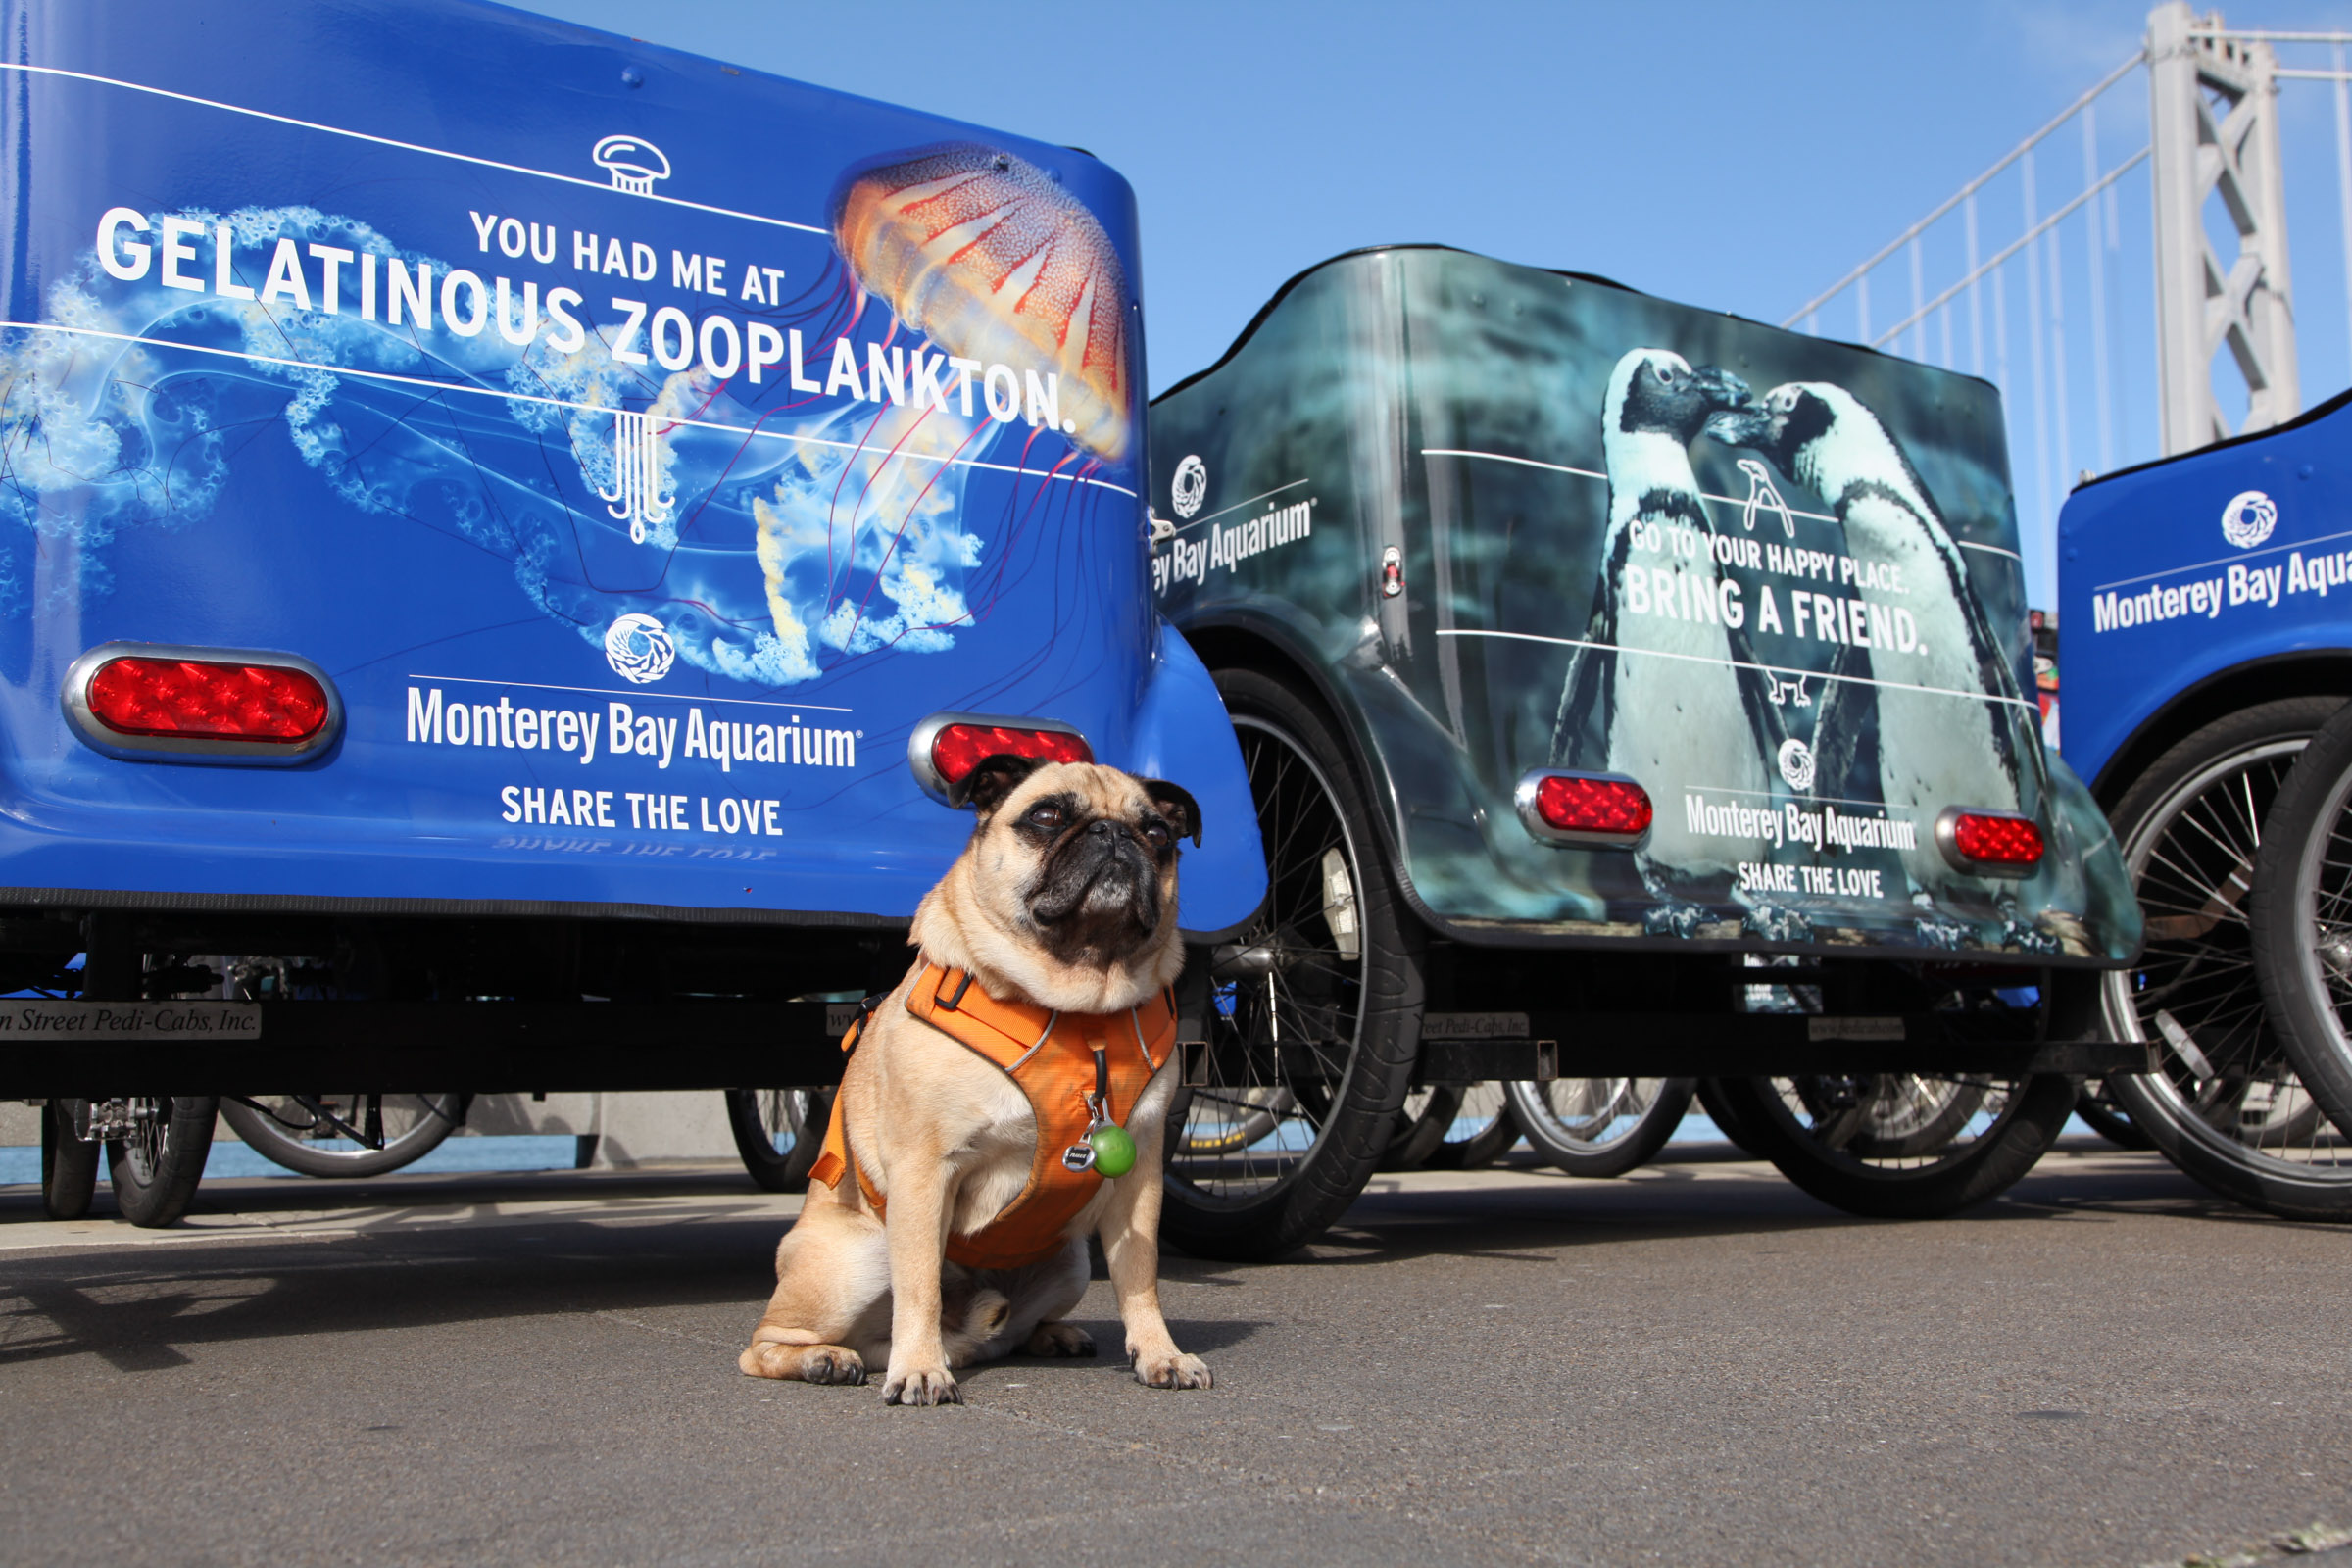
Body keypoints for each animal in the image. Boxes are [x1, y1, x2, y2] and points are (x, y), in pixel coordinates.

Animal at [733, 752, 1213, 1400]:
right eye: (1046, 816)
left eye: (1158, 834)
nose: (1112, 833)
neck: (1077, 1013)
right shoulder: (922, 1172)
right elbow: (919, 1288)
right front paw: (918, 1369)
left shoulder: (1138, 1180)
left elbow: (1141, 1277)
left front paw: (1161, 1354)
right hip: (858, 1261)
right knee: (772, 1343)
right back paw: (830, 1359)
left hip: (1069, 1262)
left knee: (998, 1335)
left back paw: (1047, 1336)